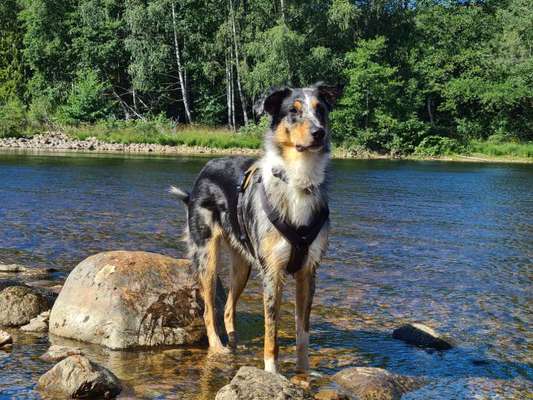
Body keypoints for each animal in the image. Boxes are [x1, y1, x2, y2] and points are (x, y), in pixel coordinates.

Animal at [172, 83, 342, 374]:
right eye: (293, 111)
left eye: (320, 109)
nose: (319, 132)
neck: (297, 180)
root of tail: (205, 170)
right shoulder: (272, 272)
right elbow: (271, 331)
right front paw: (272, 372)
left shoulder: (308, 272)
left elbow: (303, 332)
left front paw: (303, 373)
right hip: (207, 256)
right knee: (209, 309)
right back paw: (218, 348)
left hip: (243, 264)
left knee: (228, 308)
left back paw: (233, 344)